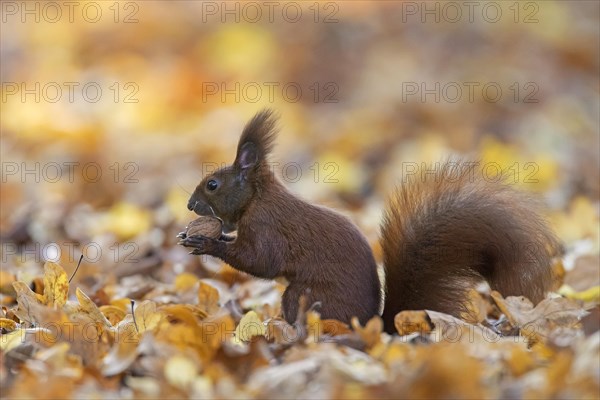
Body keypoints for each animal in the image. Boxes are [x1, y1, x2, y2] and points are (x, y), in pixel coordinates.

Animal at [179, 109, 564, 334]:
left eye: (213, 184)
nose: (189, 204)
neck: (258, 198)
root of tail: (372, 324)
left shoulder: (267, 227)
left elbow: (260, 261)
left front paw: (207, 242)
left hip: (304, 296)